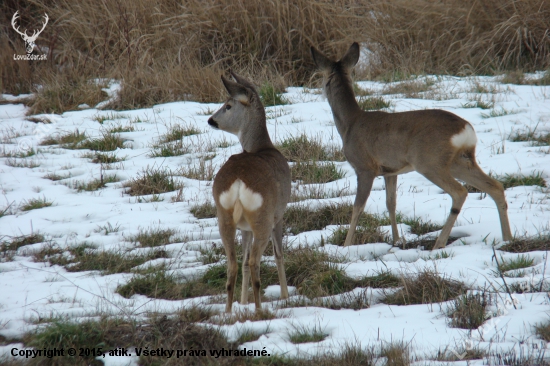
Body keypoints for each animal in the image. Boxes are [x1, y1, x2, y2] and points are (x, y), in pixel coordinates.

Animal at [208, 69, 294, 312]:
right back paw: (258, 309)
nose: (211, 120)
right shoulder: (279, 213)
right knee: (256, 261)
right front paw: (285, 296)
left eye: (228, 105)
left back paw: (228, 312)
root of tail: (238, 182)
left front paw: (243, 301)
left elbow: (244, 261)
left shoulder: (244, 227)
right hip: (262, 216)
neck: (262, 146)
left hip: (224, 217)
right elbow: (279, 254)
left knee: (234, 263)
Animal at [312, 42, 516, 249]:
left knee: (460, 192)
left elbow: (358, 207)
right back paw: (507, 239)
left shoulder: (365, 167)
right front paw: (396, 240)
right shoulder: (390, 171)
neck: (350, 124)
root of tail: (465, 129)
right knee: (495, 186)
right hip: (460, 161)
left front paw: (346, 245)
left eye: (322, 79)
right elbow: (391, 203)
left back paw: (439, 243)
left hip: (429, 162)